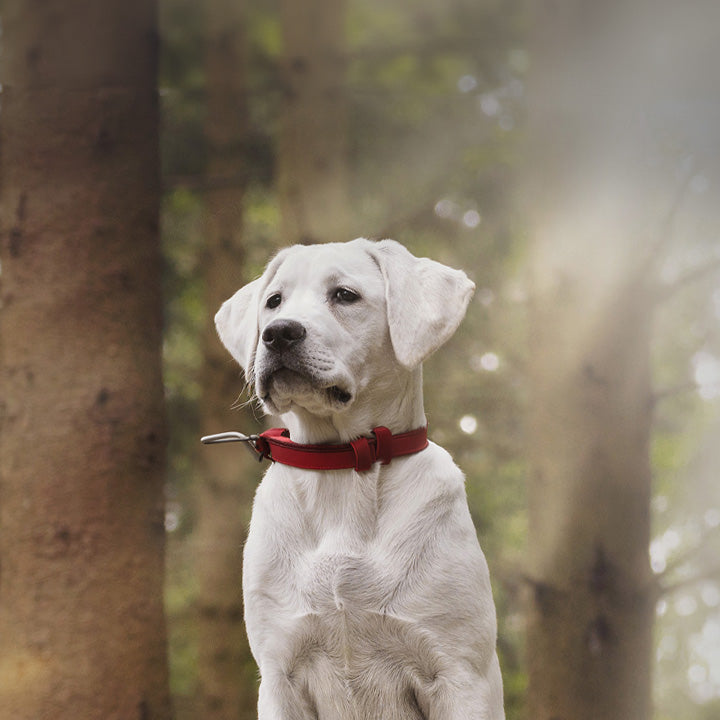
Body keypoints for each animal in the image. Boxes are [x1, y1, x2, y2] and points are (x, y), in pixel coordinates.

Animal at [215, 239, 500, 716]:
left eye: (345, 295)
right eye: (274, 302)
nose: (278, 333)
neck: (340, 466)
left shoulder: (459, 672)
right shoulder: (279, 676)